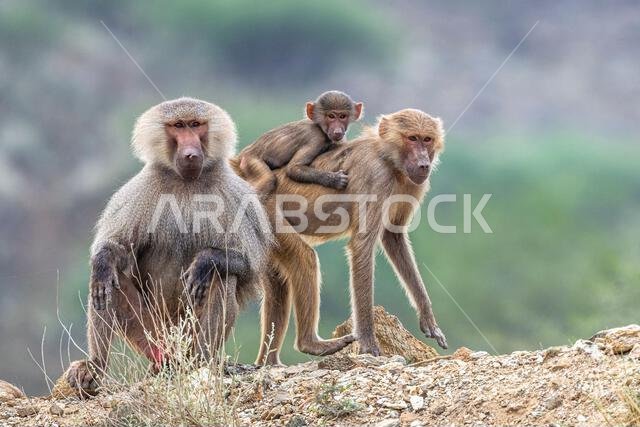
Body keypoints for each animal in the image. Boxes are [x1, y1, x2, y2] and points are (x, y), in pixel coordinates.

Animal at [66, 97, 272, 396]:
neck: (186, 181)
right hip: (153, 336)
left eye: (196, 125)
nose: (190, 153)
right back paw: (94, 366)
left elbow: (248, 265)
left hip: (186, 337)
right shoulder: (141, 190)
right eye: (178, 126)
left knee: (222, 278)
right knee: (107, 285)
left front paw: (205, 261)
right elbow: (118, 250)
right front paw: (103, 260)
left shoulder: (237, 195)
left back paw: (199, 362)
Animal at [232, 90, 363, 195]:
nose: (337, 131)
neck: (320, 128)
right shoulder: (315, 139)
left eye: (342, 116)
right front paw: (335, 180)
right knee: (268, 180)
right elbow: (293, 168)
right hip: (250, 159)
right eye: (331, 116)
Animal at [236, 109, 447, 365]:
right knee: (304, 258)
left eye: (427, 139)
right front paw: (368, 343)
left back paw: (269, 362)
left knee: (278, 282)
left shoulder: (411, 184)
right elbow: (362, 246)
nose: (424, 163)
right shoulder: (376, 177)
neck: (388, 159)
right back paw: (311, 344)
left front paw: (428, 319)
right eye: (412, 138)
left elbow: (393, 237)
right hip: (264, 212)